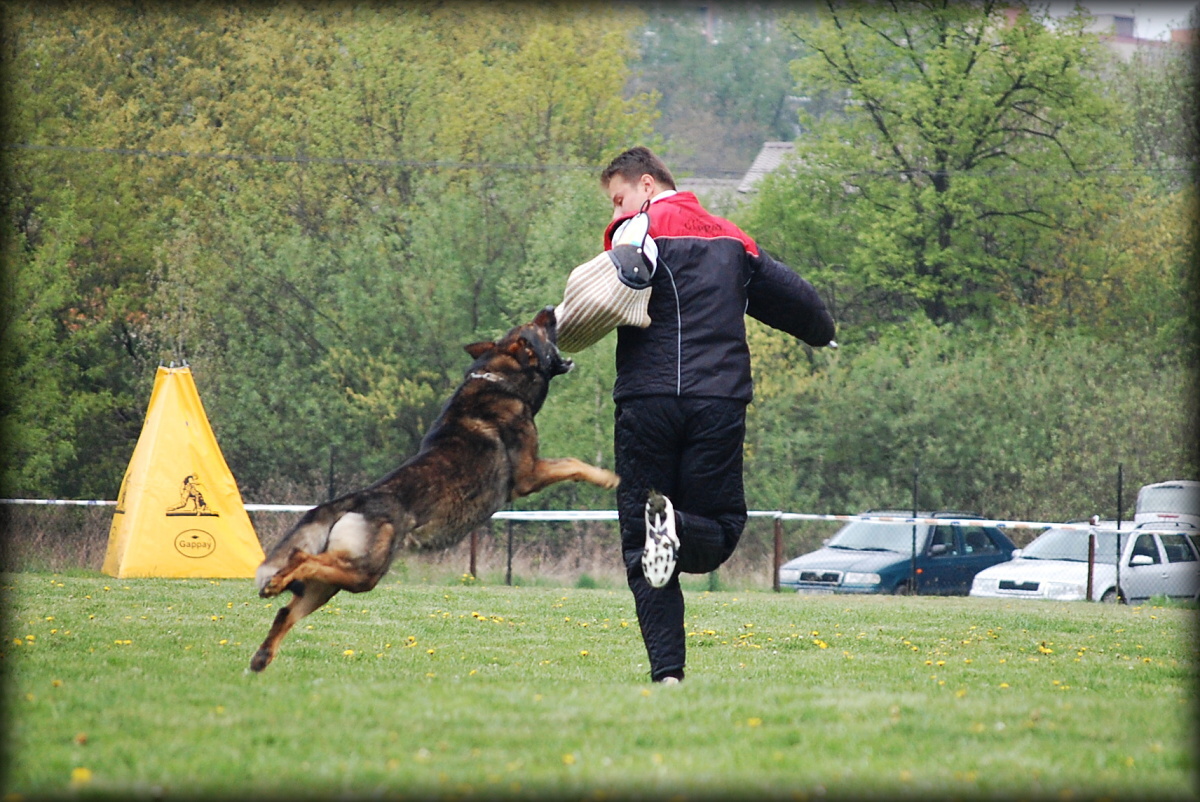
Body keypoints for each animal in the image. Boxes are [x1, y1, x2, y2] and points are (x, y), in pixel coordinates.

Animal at [248, 307, 614, 672]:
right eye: (535, 327)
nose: (549, 310)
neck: (501, 381)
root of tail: (353, 500)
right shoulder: (529, 474)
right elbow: (573, 463)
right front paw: (609, 477)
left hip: (334, 583)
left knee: (286, 610)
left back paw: (262, 655)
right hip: (364, 573)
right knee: (301, 558)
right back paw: (276, 584)